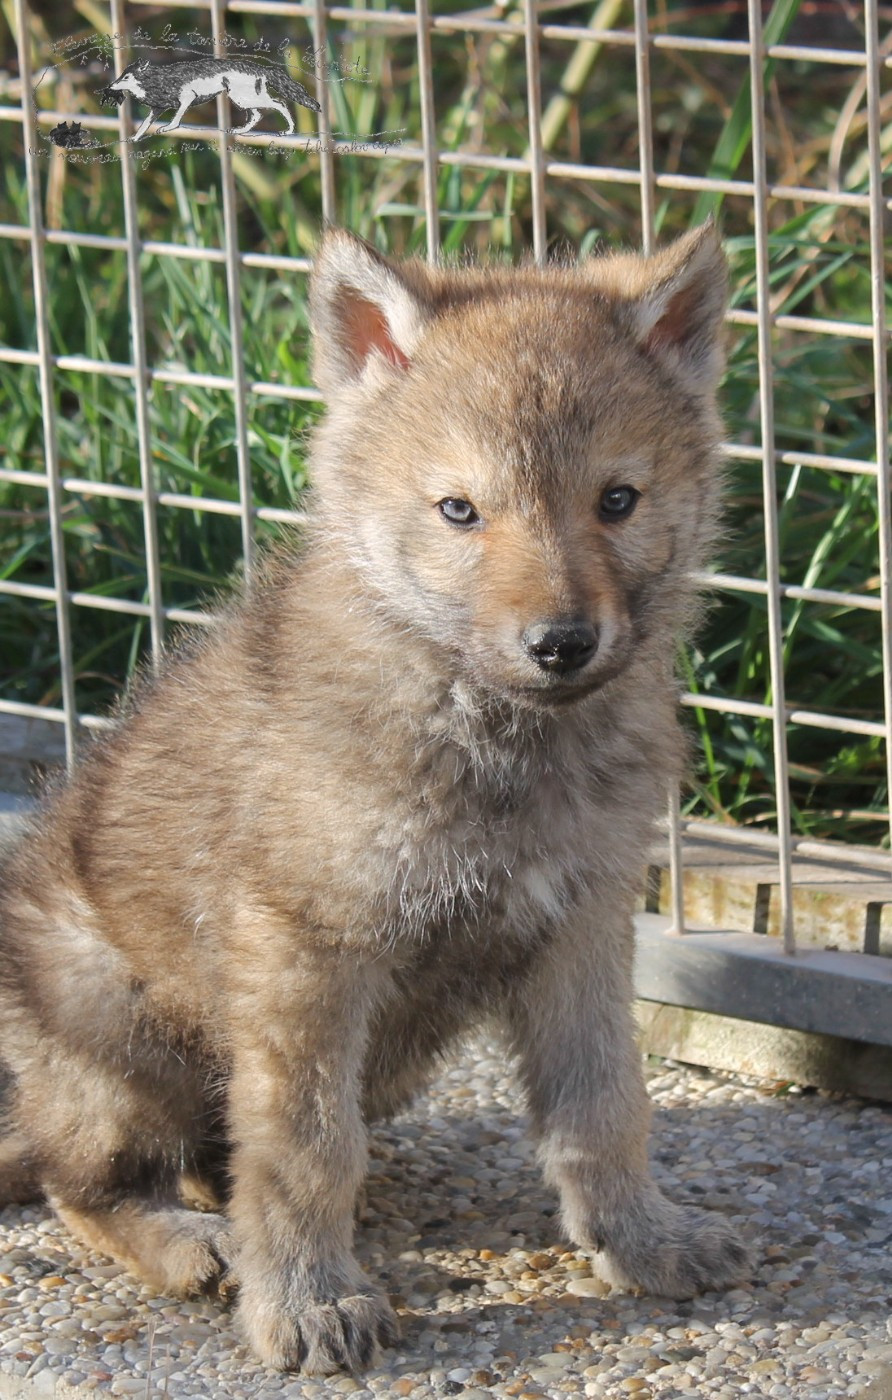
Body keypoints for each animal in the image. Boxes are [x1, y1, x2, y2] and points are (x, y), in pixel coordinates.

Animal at [0, 225, 750, 1373]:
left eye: (616, 500)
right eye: (460, 510)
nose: (562, 643)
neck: (489, 735)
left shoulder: (583, 925)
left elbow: (605, 1107)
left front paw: (641, 1234)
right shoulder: (305, 948)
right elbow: (306, 1147)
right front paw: (307, 1300)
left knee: (209, 1155)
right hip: (111, 1018)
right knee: (77, 1178)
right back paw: (192, 1244)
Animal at [106, 56, 320, 142]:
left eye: (125, 77)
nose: (110, 86)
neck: (155, 80)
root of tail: (262, 69)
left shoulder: (187, 97)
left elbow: (177, 118)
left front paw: (168, 127)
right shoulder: (156, 110)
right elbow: (144, 125)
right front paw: (134, 138)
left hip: (243, 98)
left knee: (279, 104)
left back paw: (288, 131)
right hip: (242, 98)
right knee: (257, 115)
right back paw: (240, 130)